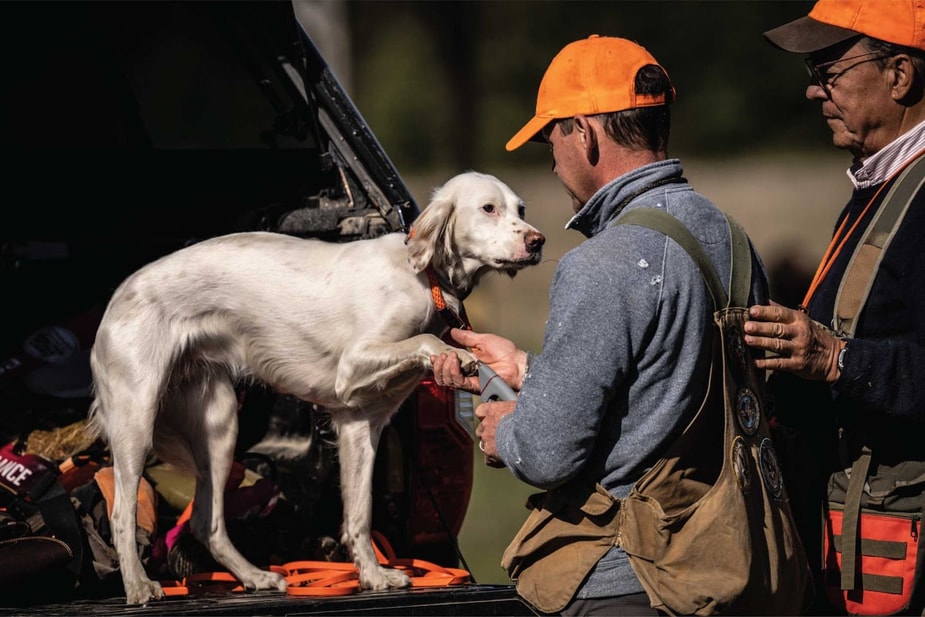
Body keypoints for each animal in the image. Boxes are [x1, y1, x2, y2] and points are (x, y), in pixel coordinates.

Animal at [88, 171, 540, 604]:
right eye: (488, 208)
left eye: (520, 208)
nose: (538, 241)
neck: (420, 276)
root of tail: (116, 299)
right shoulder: (353, 366)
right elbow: (427, 340)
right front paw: (456, 354)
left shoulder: (361, 422)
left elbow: (358, 515)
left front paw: (373, 576)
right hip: (136, 420)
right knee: (123, 515)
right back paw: (138, 586)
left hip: (218, 426)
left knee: (207, 522)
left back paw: (255, 577)